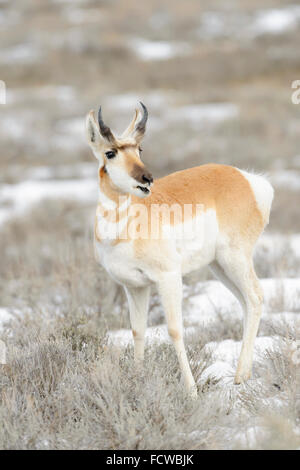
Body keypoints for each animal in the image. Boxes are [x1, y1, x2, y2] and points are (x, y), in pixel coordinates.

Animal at [85, 103, 274, 396]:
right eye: (110, 152)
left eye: (139, 149)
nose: (147, 179)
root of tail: (247, 179)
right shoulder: (135, 287)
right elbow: (137, 331)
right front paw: (137, 381)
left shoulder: (168, 278)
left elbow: (175, 330)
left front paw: (191, 390)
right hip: (219, 267)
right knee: (245, 302)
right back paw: (245, 373)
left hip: (234, 260)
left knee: (255, 297)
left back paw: (239, 377)